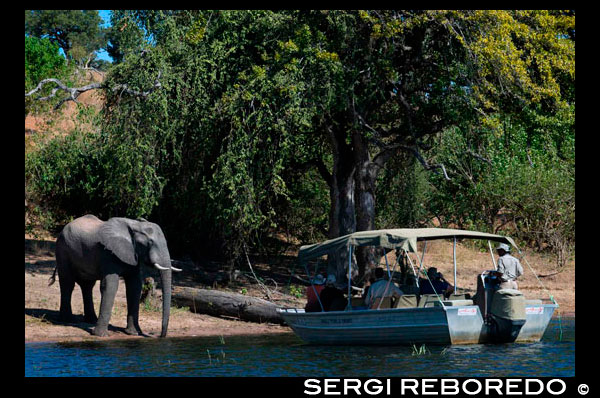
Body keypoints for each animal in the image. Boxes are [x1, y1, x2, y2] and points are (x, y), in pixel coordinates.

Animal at [49, 216, 182, 338]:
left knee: (87, 286)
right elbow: (110, 286)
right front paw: (100, 335)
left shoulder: (133, 255)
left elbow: (134, 287)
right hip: (62, 249)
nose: (159, 336)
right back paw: (67, 320)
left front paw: (133, 333)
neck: (134, 225)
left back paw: (91, 320)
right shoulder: (108, 253)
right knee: (67, 283)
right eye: (149, 243)